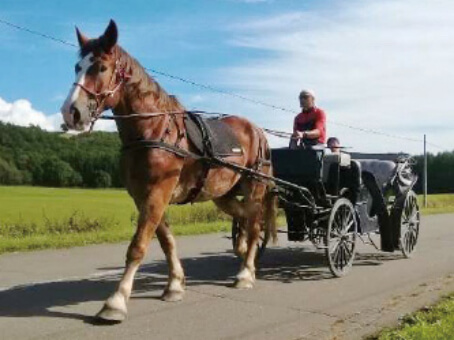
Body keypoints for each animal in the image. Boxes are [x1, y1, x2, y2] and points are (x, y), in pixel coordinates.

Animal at [59, 19, 276, 322]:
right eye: (77, 66)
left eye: (100, 67)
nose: (71, 112)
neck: (154, 130)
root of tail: (257, 130)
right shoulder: (144, 196)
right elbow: (166, 241)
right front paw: (174, 285)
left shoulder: (157, 193)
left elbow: (138, 246)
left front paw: (116, 301)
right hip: (223, 194)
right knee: (244, 217)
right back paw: (245, 253)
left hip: (254, 185)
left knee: (255, 223)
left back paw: (245, 272)